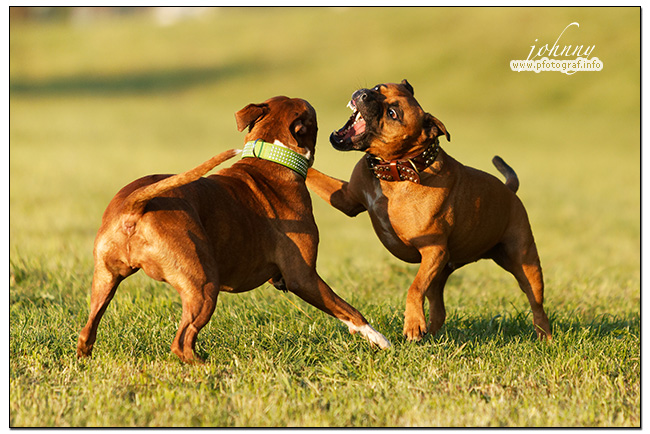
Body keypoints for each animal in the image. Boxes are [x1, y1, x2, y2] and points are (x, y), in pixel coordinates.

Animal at [76, 96, 390, 362]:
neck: (270, 155)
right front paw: (378, 338)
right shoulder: (303, 277)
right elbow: (346, 309)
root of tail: (135, 206)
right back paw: (205, 366)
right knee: (182, 342)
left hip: (104, 281)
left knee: (87, 331)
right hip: (203, 286)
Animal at [306, 79, 548, 340]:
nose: (364, 94)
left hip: (526, 264)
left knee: (537, 305)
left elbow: (414, 288)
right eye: (379, 88)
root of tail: (509, 190)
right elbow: (311, 173)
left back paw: (545, 338)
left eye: (393, 114)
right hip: (441, 273)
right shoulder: (347, 200)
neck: (398, 169)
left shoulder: (433, 250)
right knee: (438, 309)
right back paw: (431, 336)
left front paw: (412, 324)